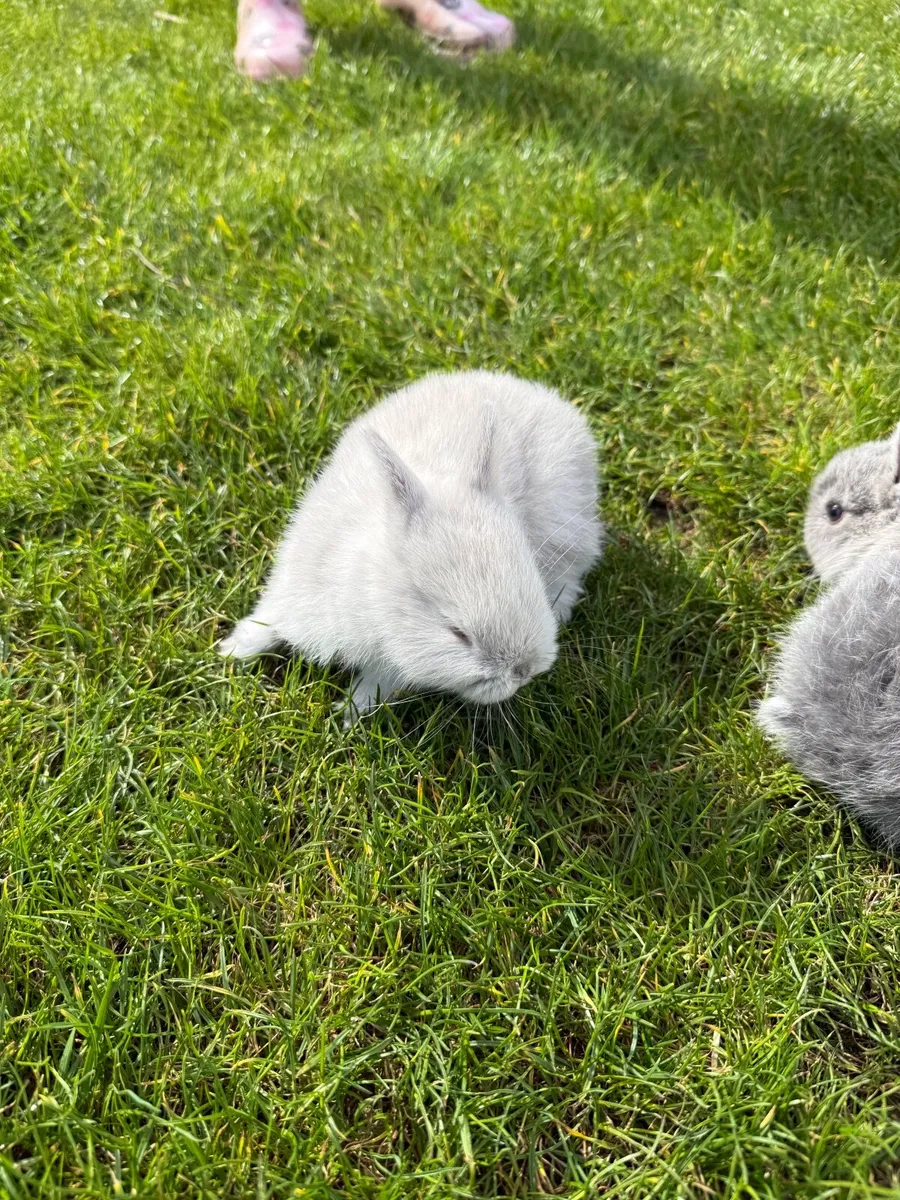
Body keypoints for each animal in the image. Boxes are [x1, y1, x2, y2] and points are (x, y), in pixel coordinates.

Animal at [218, 370, 604, 719]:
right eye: (457, 632)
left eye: (532, 585)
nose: (524, 671)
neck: (371, 592)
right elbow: (268, 620)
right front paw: (230, 652)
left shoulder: (390, 665)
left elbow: (377, 682)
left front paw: (349, 714)